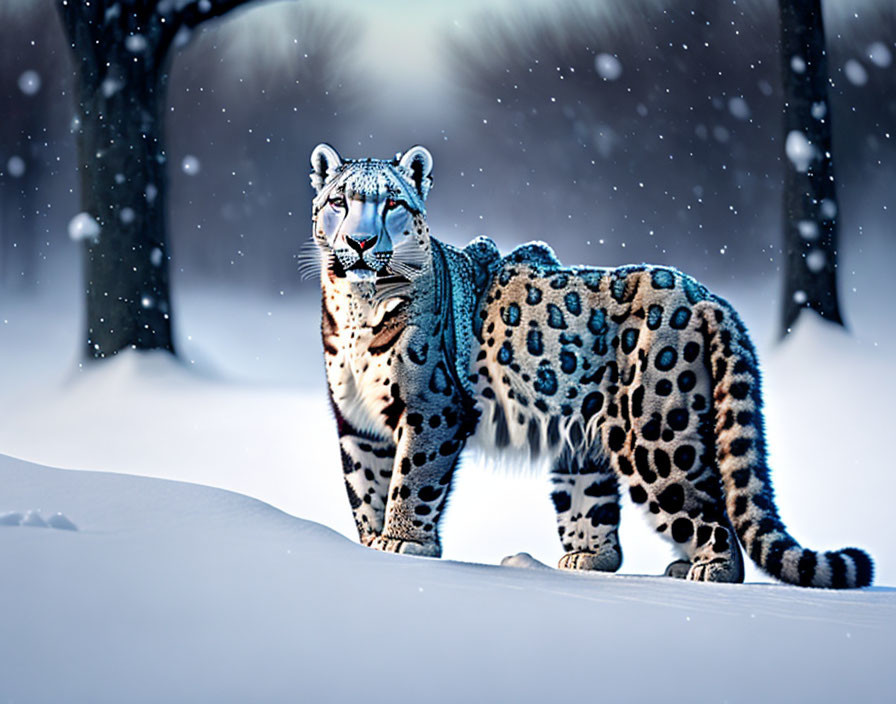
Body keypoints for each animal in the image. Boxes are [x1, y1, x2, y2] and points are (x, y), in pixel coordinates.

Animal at [308, 143, 876, 588]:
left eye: (393, 202)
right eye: (339, 201)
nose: (360, 241)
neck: (355, 311)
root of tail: (707, 296)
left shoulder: (432, 407)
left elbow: (412, 479)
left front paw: (403, 543)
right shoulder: (356, 421)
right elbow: (365, 486)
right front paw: (370, 543)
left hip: (658, 436)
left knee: (708, 513)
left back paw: (707, 571)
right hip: (585, 448)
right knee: (603, 517)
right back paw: (590, 558)